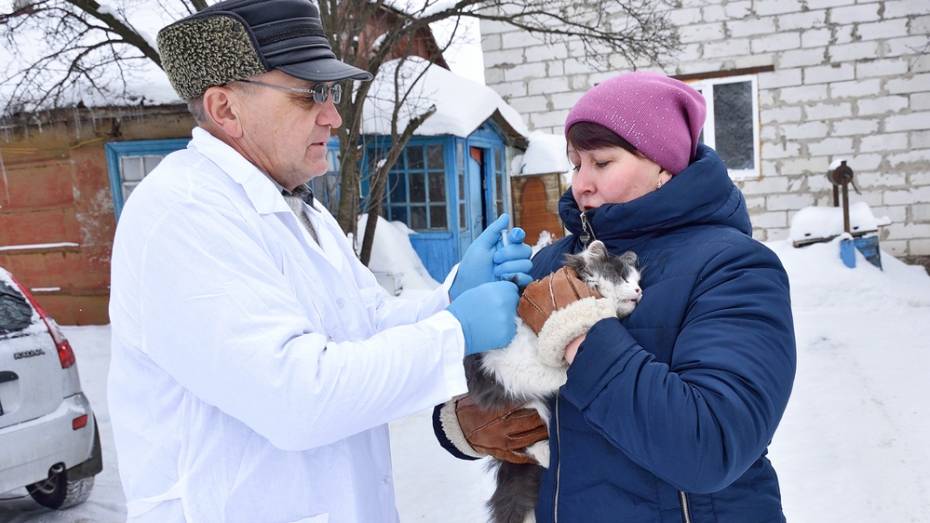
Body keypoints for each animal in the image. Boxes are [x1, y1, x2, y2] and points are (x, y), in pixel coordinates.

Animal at [462, 243, 640, 523]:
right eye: (623, 277)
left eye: (637, 280)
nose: (639, 291)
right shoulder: (506, 362)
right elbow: (549, 373)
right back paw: (546, 453)